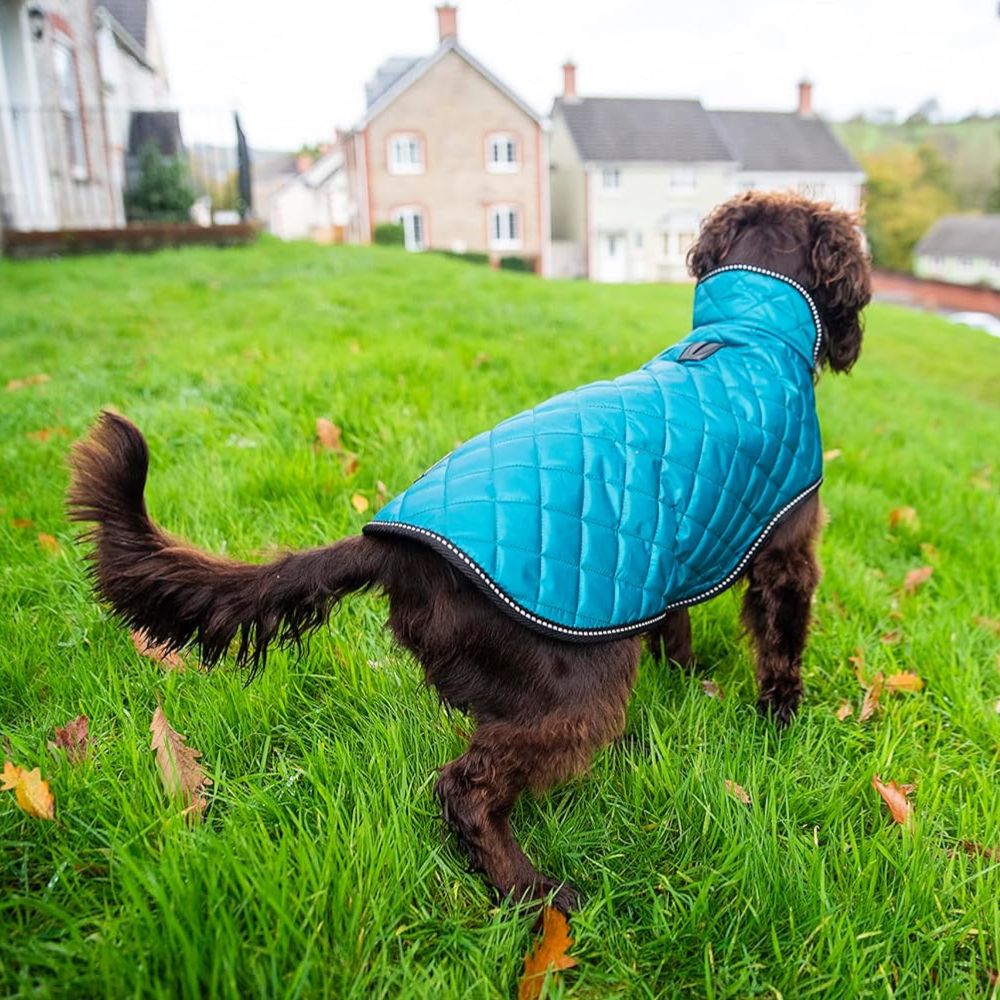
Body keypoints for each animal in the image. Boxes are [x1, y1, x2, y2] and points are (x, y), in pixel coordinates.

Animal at [68, 189, 868, 916]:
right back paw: (533, 893)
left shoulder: (662, 561)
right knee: (465, 788)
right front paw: (779, 725)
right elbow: (782, 648)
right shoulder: (788, 554)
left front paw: (689, 682)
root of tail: (395, 551)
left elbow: (677, 627)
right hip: (573, 684)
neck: (747, 334)